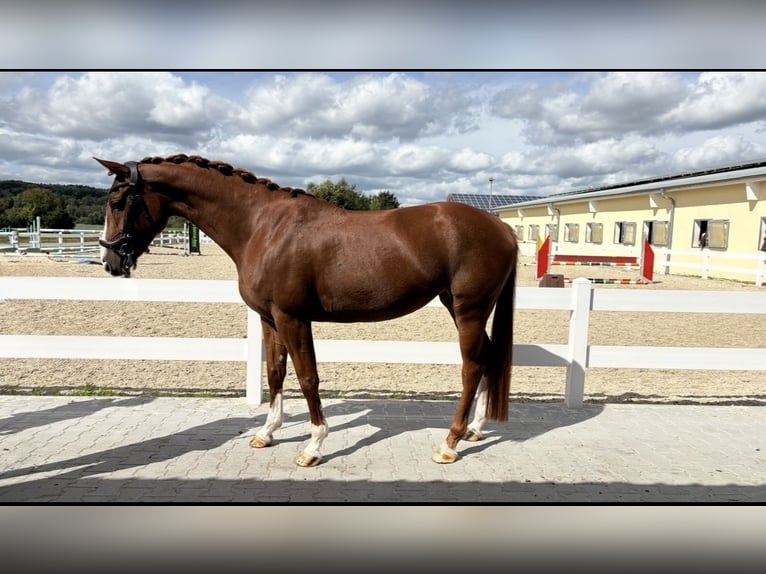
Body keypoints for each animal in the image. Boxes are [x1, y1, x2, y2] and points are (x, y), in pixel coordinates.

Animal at [97, 154, 518, 466]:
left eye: (117, 203)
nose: (109, 262)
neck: (262, 227)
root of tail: (503, 229)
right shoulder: (269, 318)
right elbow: (275, 373)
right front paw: (266, 433)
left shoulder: (292, 317)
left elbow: (307, 377)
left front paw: (313, 446)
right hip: (462, 308)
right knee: (488, 358)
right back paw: (475, 429)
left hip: (468, 310)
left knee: (472, 366)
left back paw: (450, 443)